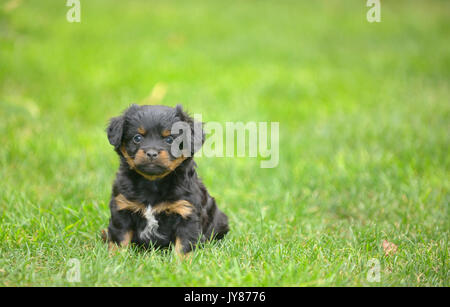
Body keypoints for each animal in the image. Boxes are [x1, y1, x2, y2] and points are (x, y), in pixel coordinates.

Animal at [102, 104, 229, 256]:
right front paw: (115, 257)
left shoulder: (186, 212)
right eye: (137, 138)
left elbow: (184, 244)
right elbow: (120, 238)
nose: (151, 153)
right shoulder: (122, 208)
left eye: (169, 139)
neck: (153, 182)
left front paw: (183, 261)